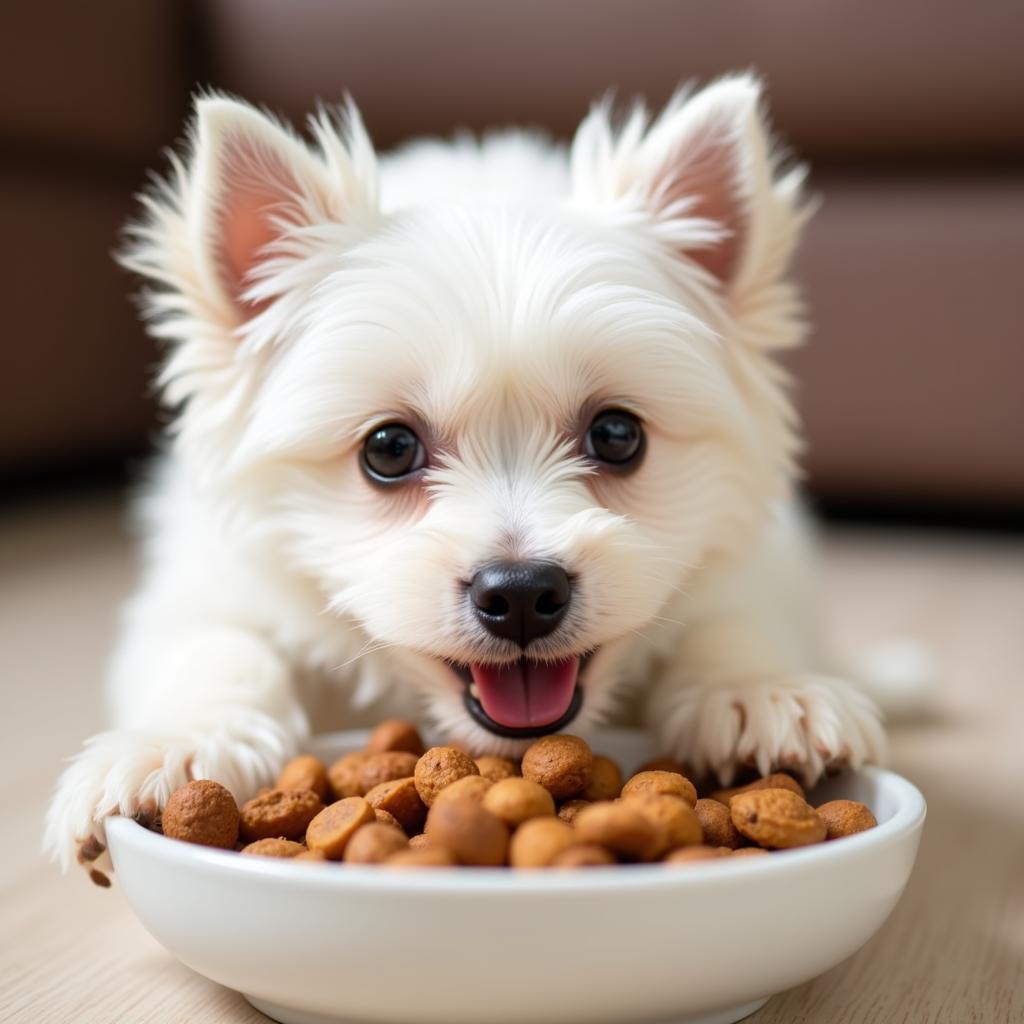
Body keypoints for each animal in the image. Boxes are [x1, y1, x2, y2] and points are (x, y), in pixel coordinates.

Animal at [44, 74, 884, 872]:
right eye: (388, 449)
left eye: (618, 434)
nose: (521, 594)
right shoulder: (207, 577)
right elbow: (217, 646)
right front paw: (175, 741)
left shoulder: (758, 555)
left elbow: (731, 617)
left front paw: (757, 694)